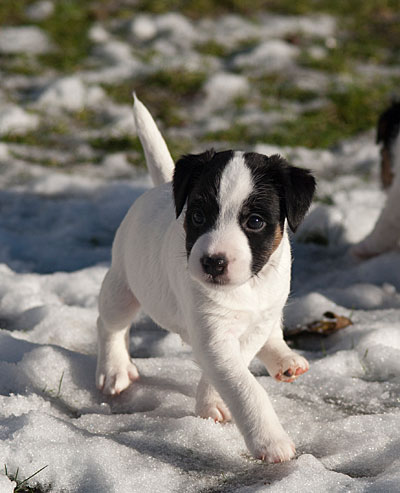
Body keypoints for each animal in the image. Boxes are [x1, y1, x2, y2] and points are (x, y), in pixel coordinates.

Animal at [96, 96, 316, 462]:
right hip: (122, 287)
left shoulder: (250, 325)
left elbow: (237, 367)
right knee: (110, 325)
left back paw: (285, 358)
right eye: (197, 216)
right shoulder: (212, 333)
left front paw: (210, 401)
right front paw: (270, 441)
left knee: (273, 329)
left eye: (255, 221)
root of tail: (161, 187)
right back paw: (115, 370)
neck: (246, 288)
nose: (213, 261)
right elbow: (244, 385)